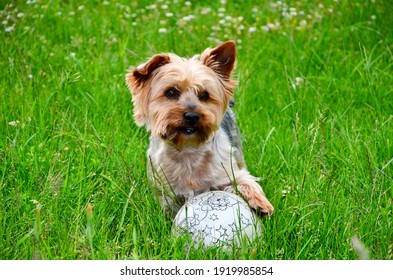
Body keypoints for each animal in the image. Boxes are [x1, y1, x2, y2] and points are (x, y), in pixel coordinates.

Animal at [125, 40, 272, 218]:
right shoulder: (166, 192)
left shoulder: (228, 172)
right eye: (171, 92)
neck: (188, 148)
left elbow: (245, 182)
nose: (192, 116)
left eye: (204, 95)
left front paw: (260, 204)